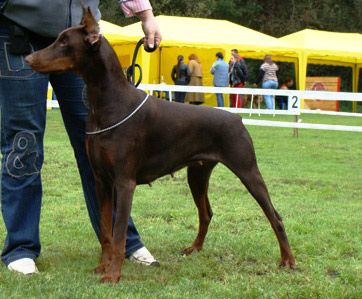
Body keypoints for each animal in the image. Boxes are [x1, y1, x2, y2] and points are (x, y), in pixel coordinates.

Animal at [26, 6, 296, 284]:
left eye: (64, 42)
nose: (28, 57)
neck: (106, 104)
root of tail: (237, 118)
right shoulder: (101, 180)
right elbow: (105, 231)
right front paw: (103, 266)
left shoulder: (124, 182)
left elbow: (119, 233)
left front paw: (113, 274)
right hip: (197, 173)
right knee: (206, 213)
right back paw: (195, 248)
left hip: (247, 170)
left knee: (275, 216)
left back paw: (288, 260)